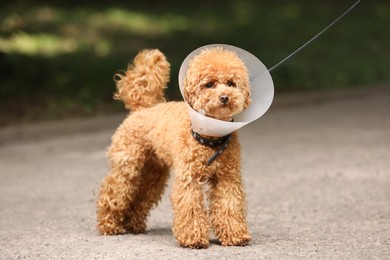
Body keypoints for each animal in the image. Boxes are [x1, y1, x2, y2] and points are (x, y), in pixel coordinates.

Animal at [96, 47, 251, 249]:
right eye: (209, 84)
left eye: (231, 83)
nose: (224, 97)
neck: (210, 138)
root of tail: (141, 109)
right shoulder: (189, 178)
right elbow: (190, 206)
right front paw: (194, 239)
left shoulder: (227, 178)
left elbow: (229, 205)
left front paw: (235, 235)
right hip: (127, 166)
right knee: (113, 192)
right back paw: (109, 225)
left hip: (153, 172)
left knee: (141, 195)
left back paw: (133, 224)